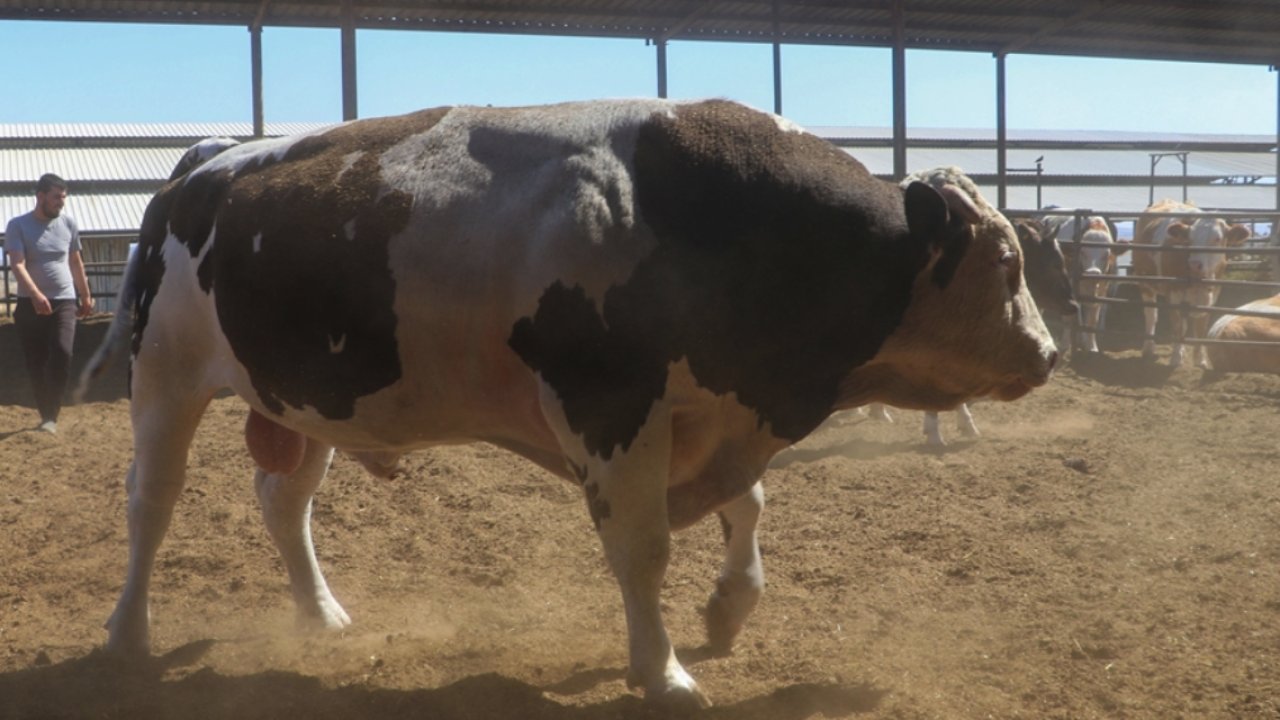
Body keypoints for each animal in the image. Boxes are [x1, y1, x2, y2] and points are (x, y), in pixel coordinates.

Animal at [82, 99, 1059, 707]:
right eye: (1008, 262)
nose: (1048, 353)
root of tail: (209, 161)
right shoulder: (611, 406)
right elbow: (644, 551)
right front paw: (664, 672)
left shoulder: (709, 410)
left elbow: (747, 505)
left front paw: (729, 605)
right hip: (164, 379)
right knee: (150, 504)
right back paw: (127, 635)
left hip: (303, 399)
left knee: (284, 504)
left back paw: (319, 615)